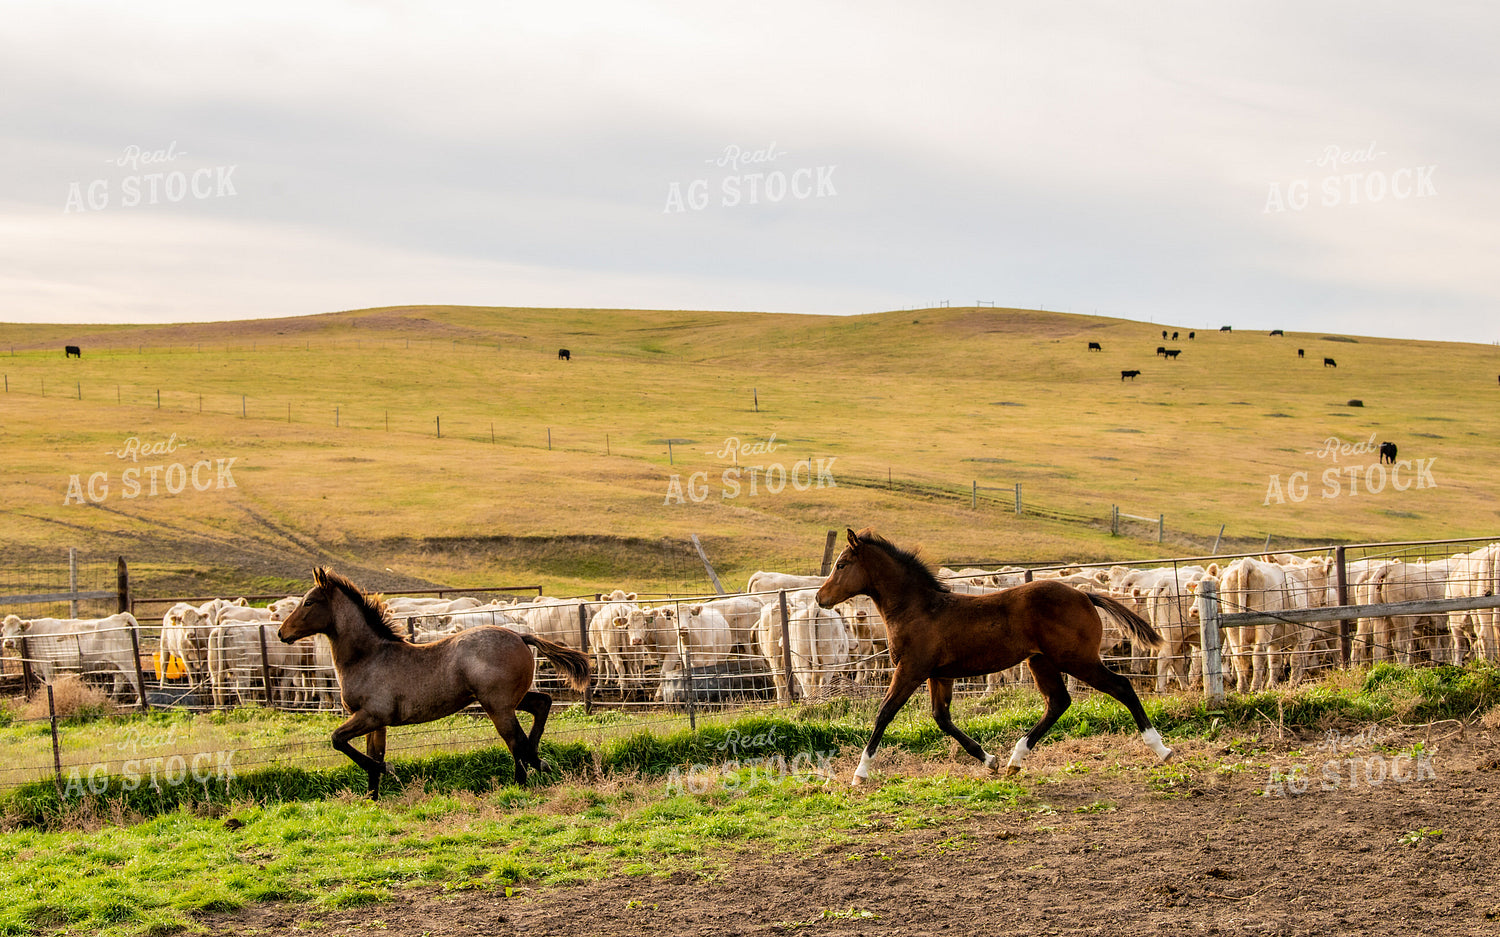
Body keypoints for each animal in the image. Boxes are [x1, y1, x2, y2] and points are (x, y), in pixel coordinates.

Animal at [277, 567, 591, 798]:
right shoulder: (375, 722)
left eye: (308, 602)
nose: (282, 633)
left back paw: (525, 778)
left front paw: (388, 771)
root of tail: (520, 636)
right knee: (541, 706)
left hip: (498, 706)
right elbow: (371, 756)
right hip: (509, 699)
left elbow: (339, 741)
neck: (369, 657)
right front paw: (372, 799)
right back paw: (536, 763)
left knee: (516, 741)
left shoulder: (370, 716)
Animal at [815, 528, 1172, 786]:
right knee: (1058, 702)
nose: (820, 597)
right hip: (1041, 661)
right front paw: (990, 761)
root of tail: (1084, 594)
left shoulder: (912, 669)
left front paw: (859, 774)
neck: (919, 610)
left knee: (1122, 686)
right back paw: (1015, 760)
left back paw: (1161, 749)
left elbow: (884, 713)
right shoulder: (938, 674)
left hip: (1077, 659)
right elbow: (942, 718)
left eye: (841, 565)